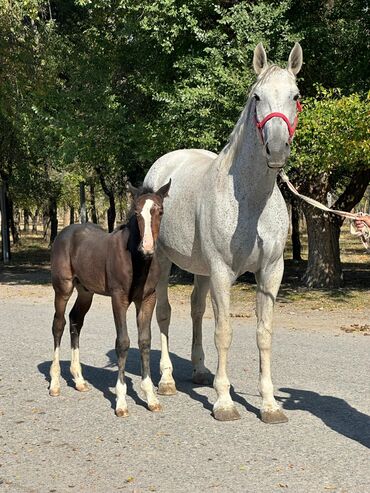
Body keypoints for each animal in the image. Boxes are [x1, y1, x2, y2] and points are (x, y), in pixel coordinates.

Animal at [48, 180, 171, 416]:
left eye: (160, 210)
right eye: (136, 212)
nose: (147, 248)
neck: (138, 262)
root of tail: (65, 232)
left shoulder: (147, 299)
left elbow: (144, 341)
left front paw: (151, 397)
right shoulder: (119, 298)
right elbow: (122, 342)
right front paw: (121, 401)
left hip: (85, 291)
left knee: (75, 320)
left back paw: (79, 379)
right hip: (63, 288)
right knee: (58, 324)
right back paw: (55, 383)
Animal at [143, 43, 302, 422]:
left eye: (296, 96)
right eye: (256, 97)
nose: (277, 150)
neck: (250, 201)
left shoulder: (271, 271)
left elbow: (263, 333)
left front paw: (270, 404)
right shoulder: (220, 272)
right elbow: (224, 332)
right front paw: (225, 402)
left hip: (199, 269)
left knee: (196, 309)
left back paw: (200, 371)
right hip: (163, 261)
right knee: (164, 313)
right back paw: (167, 381)